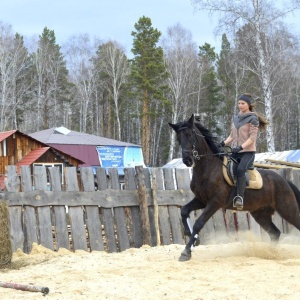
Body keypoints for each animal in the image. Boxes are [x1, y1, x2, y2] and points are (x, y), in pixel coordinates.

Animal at [169, 113, 300, 262]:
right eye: (179, 138)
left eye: (190, 135)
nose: (187, 160)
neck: (208, 168)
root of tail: (284, 181)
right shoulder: (201, 200)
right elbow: (184, 210)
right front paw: (192, 238)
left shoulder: (215, 202)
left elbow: (199, 223)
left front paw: (186, 252)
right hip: (261, 214)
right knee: (275, 233)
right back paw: (271, 254)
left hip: (287, 209)